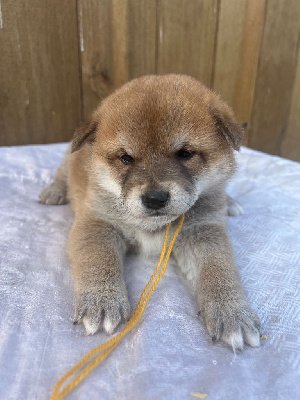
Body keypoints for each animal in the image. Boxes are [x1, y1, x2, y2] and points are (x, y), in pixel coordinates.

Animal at [39, 74, 260, 350]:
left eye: (185, 154)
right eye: (126, 158)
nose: (155, 198)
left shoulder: (203, 230)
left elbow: (218, 267)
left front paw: (232, 311)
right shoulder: (97, 223)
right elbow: (99, 260)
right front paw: (102, 300)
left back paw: (229, 202)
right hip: (70, 158)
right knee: (62, 176)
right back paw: (54, 192)